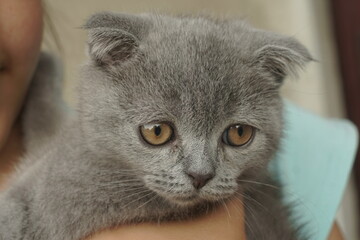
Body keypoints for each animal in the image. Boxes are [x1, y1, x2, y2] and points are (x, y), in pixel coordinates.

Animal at [0, 12, 310, 240]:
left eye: (238, 133)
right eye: (157, 131)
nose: (200, 175)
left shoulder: (55, 203)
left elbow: (17, 212)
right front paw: (46, 61)